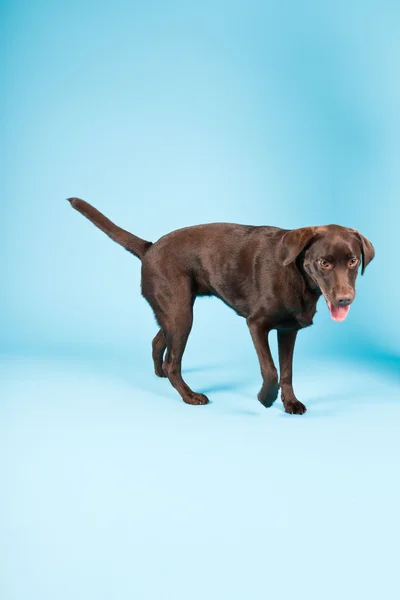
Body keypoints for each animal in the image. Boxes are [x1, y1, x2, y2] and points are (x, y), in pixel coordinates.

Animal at [67, 199, 374, 414]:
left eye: (353, 261)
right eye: (324, 262)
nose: (345, 299)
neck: (297, 275)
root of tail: (150, 247)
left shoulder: (288, 330)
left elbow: (286, 372)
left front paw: (291, 403)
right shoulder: (257, 324)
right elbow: (271, 370)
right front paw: (265, 398)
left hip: (172, 313)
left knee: (159, 344)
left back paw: (160, 376)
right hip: (181, 315)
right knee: (173, 362)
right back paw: (189, 396)